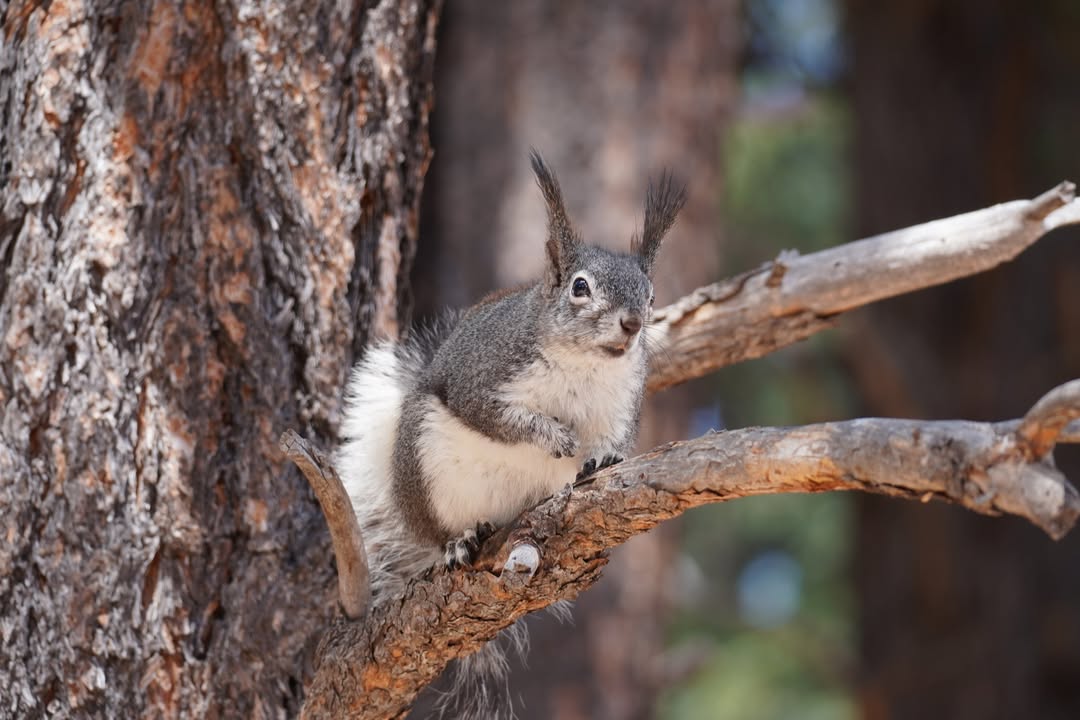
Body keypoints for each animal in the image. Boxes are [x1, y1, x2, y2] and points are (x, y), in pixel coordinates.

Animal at [335, 151, 685, 719]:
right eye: (580, 287)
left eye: (652, 295)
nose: (633, 324)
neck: (585, 362)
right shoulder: (482, 373)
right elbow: (496, 417)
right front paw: (555, 437)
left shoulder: (624, 402)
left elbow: (616, 441)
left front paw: (599, 459)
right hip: (428, 467)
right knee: (440, 533)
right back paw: (459, 540)